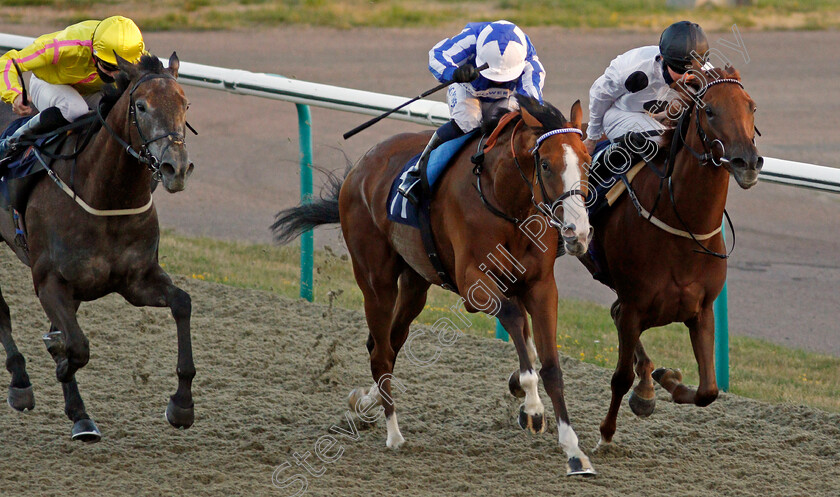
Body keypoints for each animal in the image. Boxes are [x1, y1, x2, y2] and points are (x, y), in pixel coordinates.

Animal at [0, 53, 195, 442]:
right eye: (141, 106)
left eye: (185, 104)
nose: (176, 168)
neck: (106, 196)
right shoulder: (49, 282)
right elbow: (77, 346)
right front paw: (66, 378)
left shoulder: (137, 281)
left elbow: (182, 303)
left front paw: (182, 404)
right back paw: (20, 381)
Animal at [274, 94, 596, 476]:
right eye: (545, 165)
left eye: (587, 161)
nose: (578, 233)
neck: (504, 201)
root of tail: (360, 168)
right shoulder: (475, 283)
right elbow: (518, 325)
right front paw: (532, 407)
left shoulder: (541, 287)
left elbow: (549, 365)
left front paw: (574, 452)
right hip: (376, 280)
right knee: (381, 352)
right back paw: (393, 433)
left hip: (415, 282)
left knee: (388, 342)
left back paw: (366, 402)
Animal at [580, 64, 764, 448]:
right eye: (710, 111)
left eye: (751, 106)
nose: (747, 162)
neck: (682, 225)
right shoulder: (636, 305)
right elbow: (619, 377)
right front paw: (605, 435)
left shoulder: (701, 308)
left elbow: (709, 390)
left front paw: (666, 381)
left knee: (614, 313)